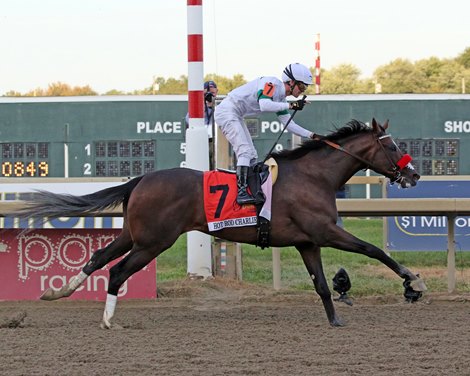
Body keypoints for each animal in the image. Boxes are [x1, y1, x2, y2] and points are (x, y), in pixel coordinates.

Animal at [15, 119, 426, 328]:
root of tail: (140, 179)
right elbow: (373, 250)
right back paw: (107, 319)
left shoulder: (307, 241)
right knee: (116, 271)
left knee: (99, 257)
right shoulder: (325, 232)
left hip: (135, 234)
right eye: (392, 146)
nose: (414, 174)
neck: (314, 176)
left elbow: (323, 285)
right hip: (154, 242)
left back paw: (58, 291)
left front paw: (336, 320)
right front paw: (413, 283)